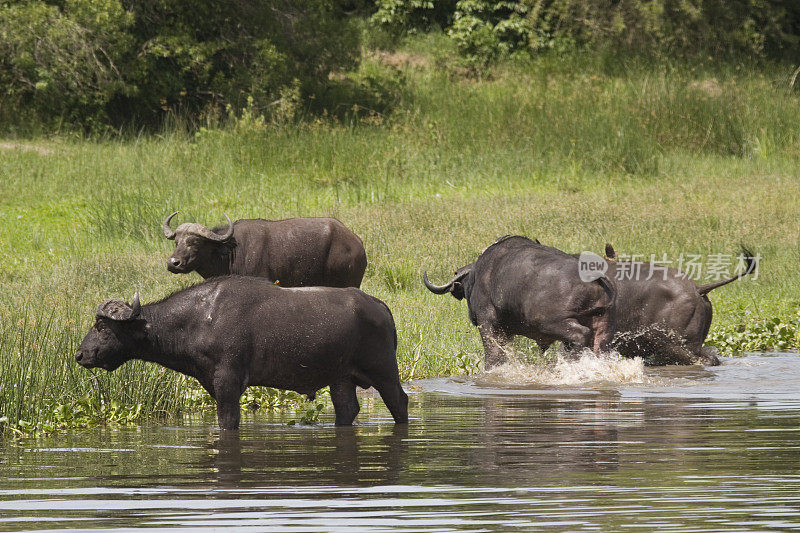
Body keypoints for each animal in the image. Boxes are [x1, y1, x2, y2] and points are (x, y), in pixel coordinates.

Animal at [75, 274, 406, 428]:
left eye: (102, 326)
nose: (80, 355)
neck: (197, 319)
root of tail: (379, 306)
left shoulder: (228, 383)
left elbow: (227, 422)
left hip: (384, 372)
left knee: (399, 402)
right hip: (341, 379)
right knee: (347, 409)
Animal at [422, 235, 616, 368]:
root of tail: (594, 277)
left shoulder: (488, 324)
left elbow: (493, 354)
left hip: (553, 323)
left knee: (579, 335)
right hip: (602, 329)